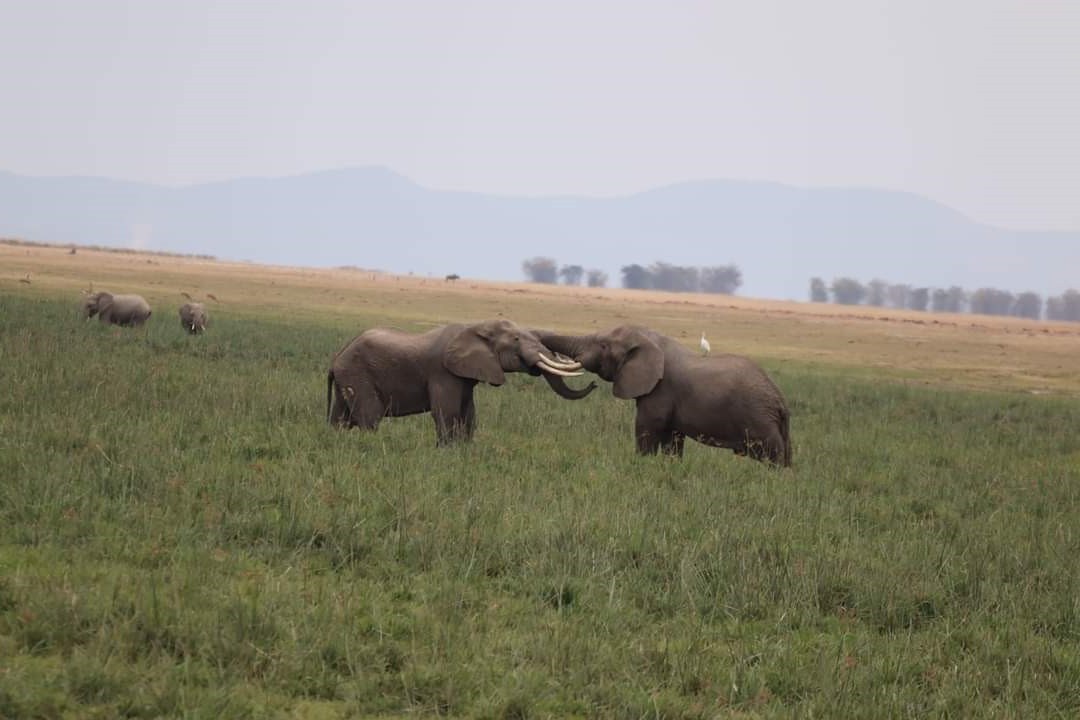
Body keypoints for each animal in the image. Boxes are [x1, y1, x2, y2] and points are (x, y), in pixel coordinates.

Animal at [326, 319, 600, 444]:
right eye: (516, 340)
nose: (595, 384)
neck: (477, 326)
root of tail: (337, 356)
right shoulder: (442, 372)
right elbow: (446, 412)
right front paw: (447, 453)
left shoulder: (466, 377)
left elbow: (469, 414)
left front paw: (465, 452)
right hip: (358, 375)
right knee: (369, 418)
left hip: (347, 378)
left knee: (339, 418)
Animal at [533, 325, 794, 468]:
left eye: (603, 345)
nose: (593, 383)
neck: (650, 338)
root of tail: (780, 400)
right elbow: (672, 440)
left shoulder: (660, 391)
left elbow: (646, 429)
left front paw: (641, 465)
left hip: (759, 420)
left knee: (773, 456)